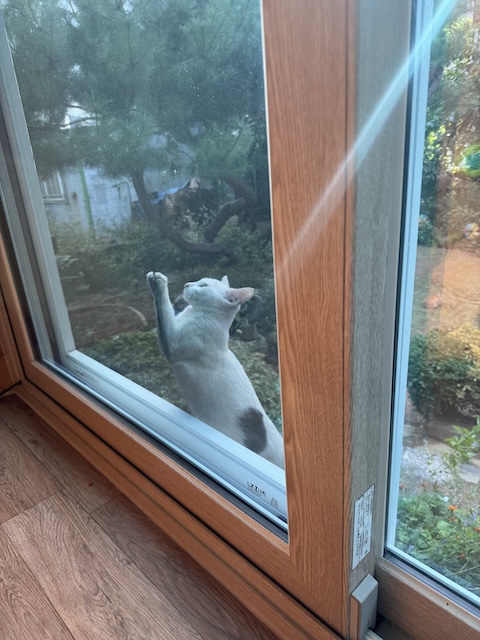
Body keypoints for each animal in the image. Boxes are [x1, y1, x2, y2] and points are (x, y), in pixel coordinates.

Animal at [146, 271, 284, 468]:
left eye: (203, 286)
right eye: (198, 280)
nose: (187, 284)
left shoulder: (172, 343)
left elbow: (163, 311)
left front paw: (159, 281)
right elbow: (168, 312)